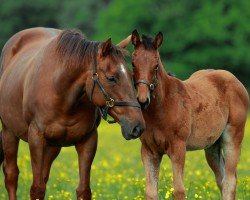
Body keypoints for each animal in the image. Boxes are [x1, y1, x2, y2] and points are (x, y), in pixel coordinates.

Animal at [0, 27, 146, 199]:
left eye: (131, 76)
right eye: (111, 78)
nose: (137, 127)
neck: (61, 93)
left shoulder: (88, 140)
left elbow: (83, 190)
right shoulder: (36, 138)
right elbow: (36, 189)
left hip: (52, 146)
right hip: (9, 132)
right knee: (11, 175)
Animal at [125, 30, 248, 200]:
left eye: (156, 65)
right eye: (133, 63)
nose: (143, 100)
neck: (161, 109)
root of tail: (234, 79)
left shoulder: (178, 148)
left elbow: (179, 190)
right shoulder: (149, 151)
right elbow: (150, 193)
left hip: (232, 138)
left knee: (230, 181)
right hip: (212, 146)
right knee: (221, 180)